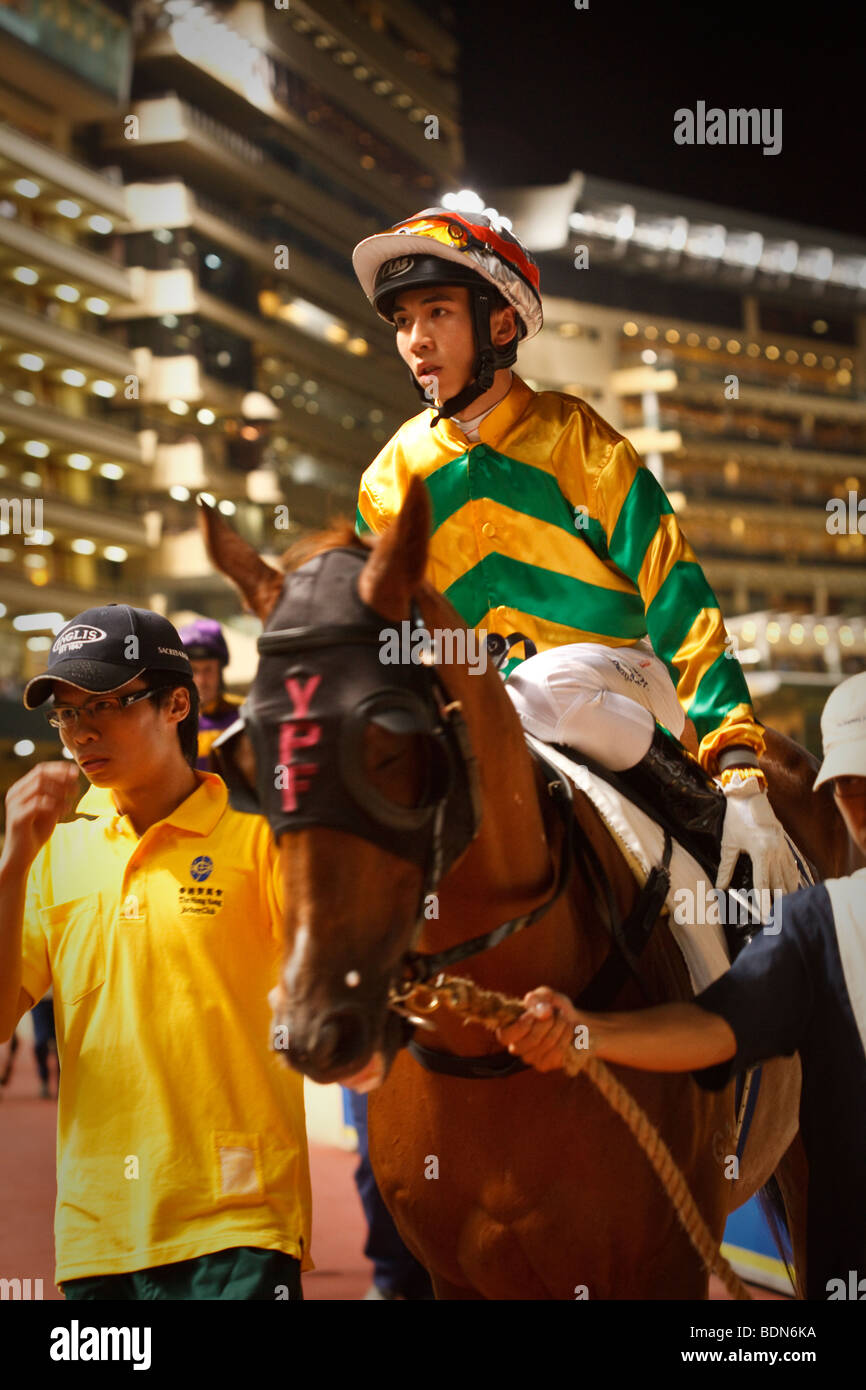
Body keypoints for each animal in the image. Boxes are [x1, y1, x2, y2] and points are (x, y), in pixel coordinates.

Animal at [202, 480, 861, 1301]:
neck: (491, 1048)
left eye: (392, 739)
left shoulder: (667, 1262)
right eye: (247, 753)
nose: (318, 1027)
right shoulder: (457, 1274)